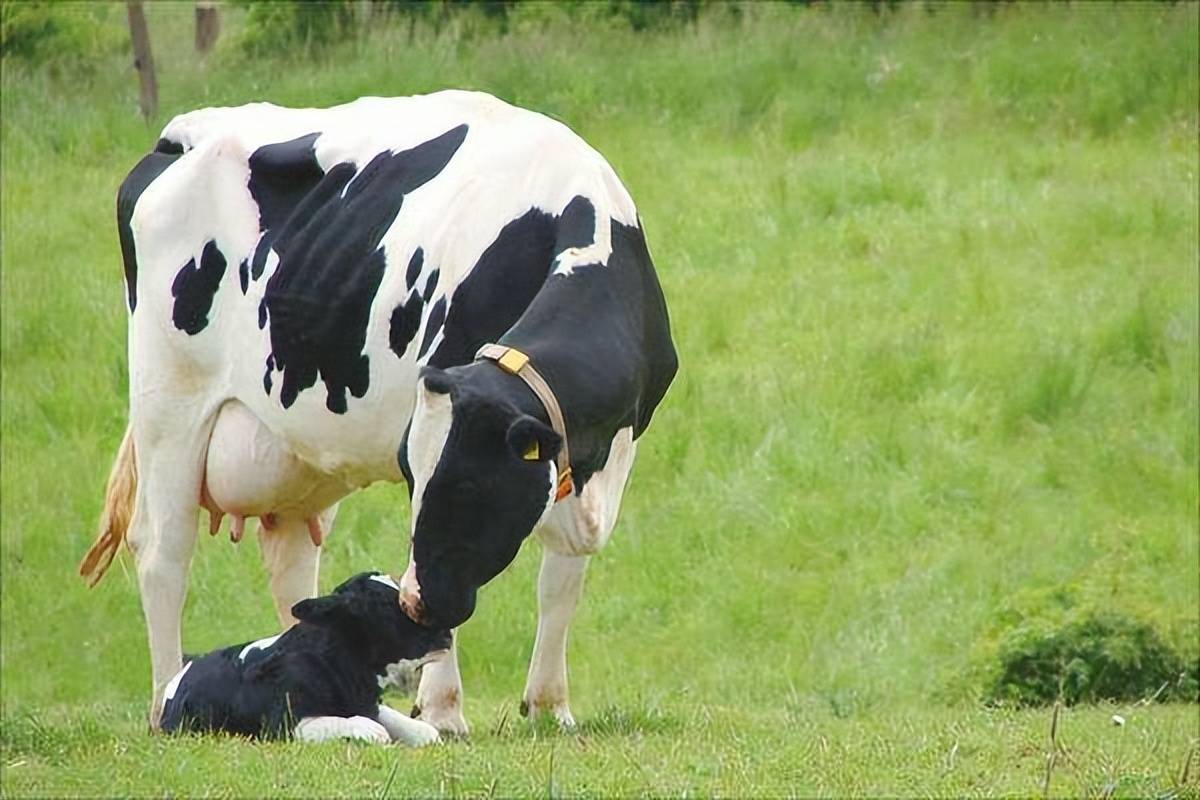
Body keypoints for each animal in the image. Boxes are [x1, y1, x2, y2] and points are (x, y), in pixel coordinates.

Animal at [79, 90, 681, 734]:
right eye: (414, 477)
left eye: (470, 485)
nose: (419, 603)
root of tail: (181, 133)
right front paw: (443, 710)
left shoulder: (594, 455)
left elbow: (561, 581)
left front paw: (549, 707)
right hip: (169, 401)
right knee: (163, 552)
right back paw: (164, 699)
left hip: (294, 455)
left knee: (293, 566)